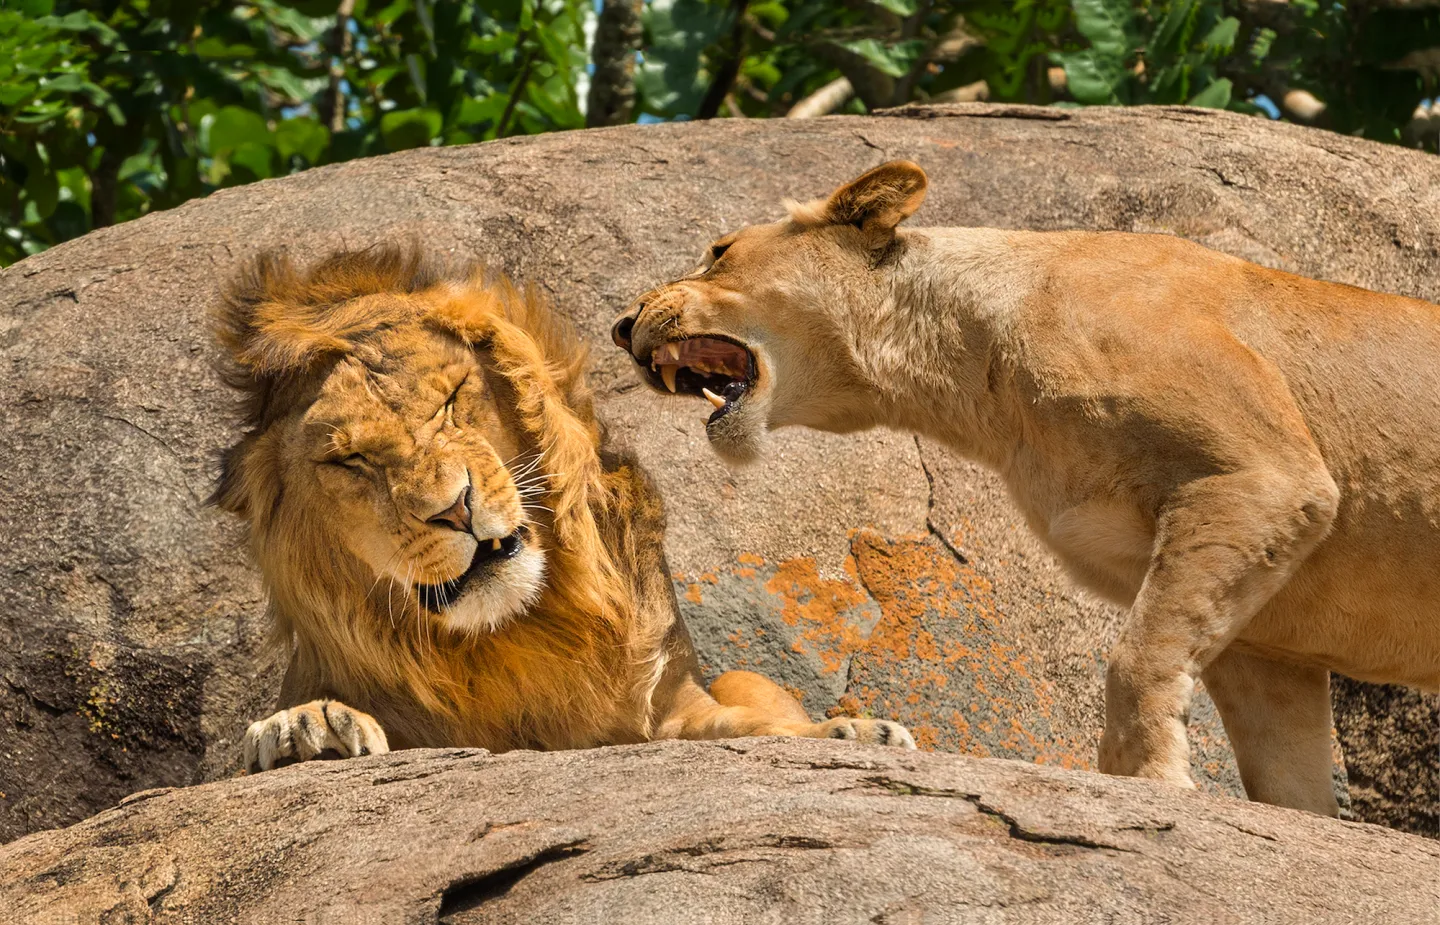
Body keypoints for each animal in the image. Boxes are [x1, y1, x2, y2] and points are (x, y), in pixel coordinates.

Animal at [210, 242, 910, 766]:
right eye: (348, 460)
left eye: (450, 400)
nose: (454, 508)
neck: (516, 633)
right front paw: (305, 728)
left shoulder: (669, 705)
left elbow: (745, 727)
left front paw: (848, 732)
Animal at [613, 162, 1440, 812]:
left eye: (719, 252)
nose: (622, 325)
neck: (974, 376)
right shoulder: (1267, 635)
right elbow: (1285, 775)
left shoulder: (1264, 475)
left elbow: (1137, 657)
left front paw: (1147, 783)